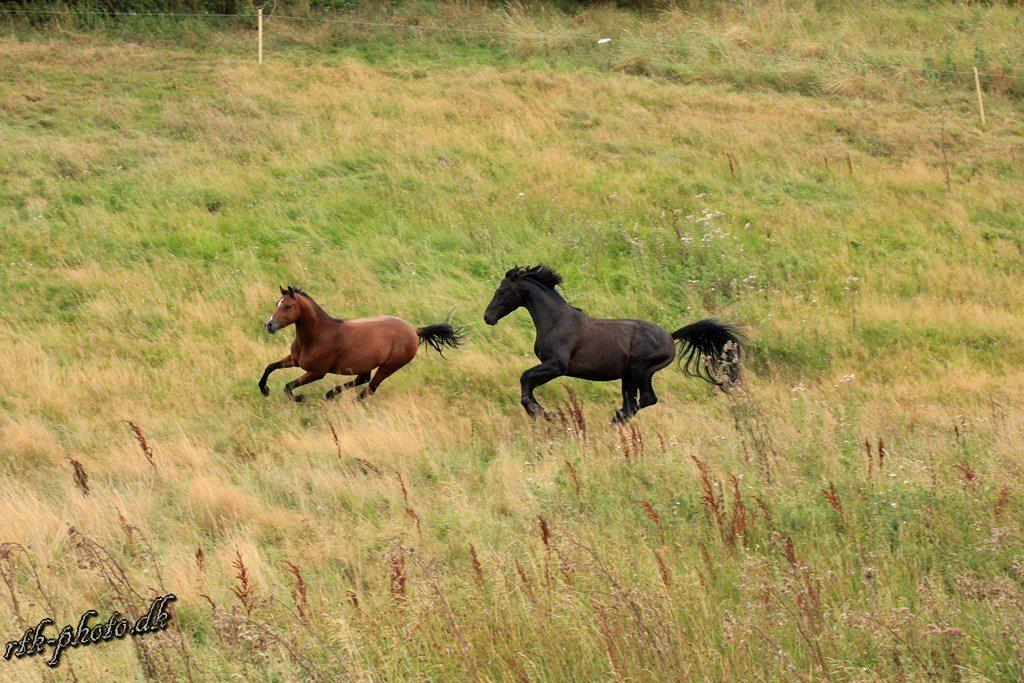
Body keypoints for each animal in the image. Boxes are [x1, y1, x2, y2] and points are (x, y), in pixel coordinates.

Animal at [259, 286, 464, 402]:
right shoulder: (294, 359)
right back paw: (330, 395)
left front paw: (300, 398)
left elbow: (288, 386)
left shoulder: (317, 372)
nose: (269, 325)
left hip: (389, 366)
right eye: (277, 303)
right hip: (367, 364)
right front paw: (264, 389)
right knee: (363, 380)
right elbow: (270, 367)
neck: (318, 335)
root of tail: (414, 330)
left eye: (287, 306)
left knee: (369, 388)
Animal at [483, 265, 744, 422]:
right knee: (633, 402)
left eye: (502, 291)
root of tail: (670, 336)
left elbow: (525, 379)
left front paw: (543, 414)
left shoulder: (556, 366)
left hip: (641, 369)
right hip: (628, 375)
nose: (487, 317)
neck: (556, 321)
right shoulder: (550, 367)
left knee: (645, 400)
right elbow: (527, 382)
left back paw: (614, 420)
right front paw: (541, 413)